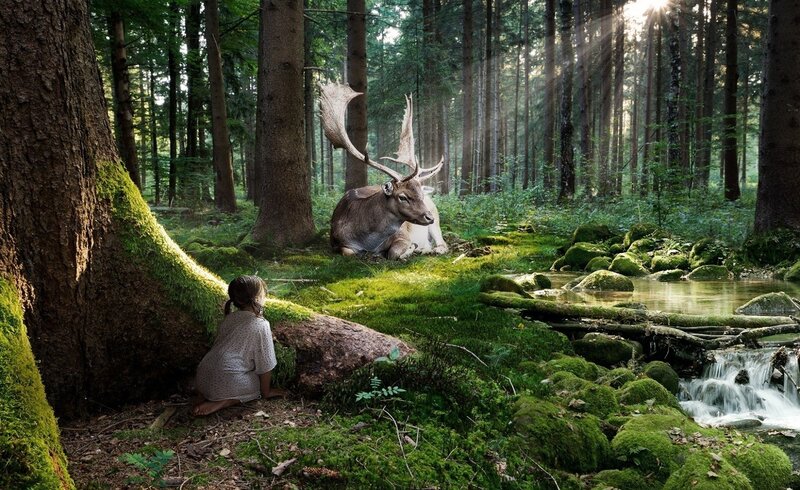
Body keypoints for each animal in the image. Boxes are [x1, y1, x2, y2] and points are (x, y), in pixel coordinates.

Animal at [320, 82, 447, 259]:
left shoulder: (403, 235)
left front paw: (409, 249)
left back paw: (430, 249)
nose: (428, 217)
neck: (368, 242)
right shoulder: (336, 241)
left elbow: (393, 252)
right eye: (403, 197)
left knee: (443, 243)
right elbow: (348, 252)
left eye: (420, 194)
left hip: (436, 218)